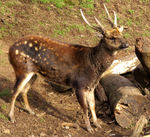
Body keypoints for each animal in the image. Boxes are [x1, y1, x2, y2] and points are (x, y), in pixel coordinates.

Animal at [8, 4, 127, 133]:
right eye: (111, 37)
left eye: (121, 34)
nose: (126, 44)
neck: (93, 64)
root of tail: (10, 49)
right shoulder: (79, 85)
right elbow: (84, 107)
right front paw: (89, 128)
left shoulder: (91, 86)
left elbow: (93, 105)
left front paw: (97, 124)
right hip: (21, 69)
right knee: (15, 90)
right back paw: (11, 117)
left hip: (34, 73)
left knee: (24, 90)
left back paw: (31, 111)